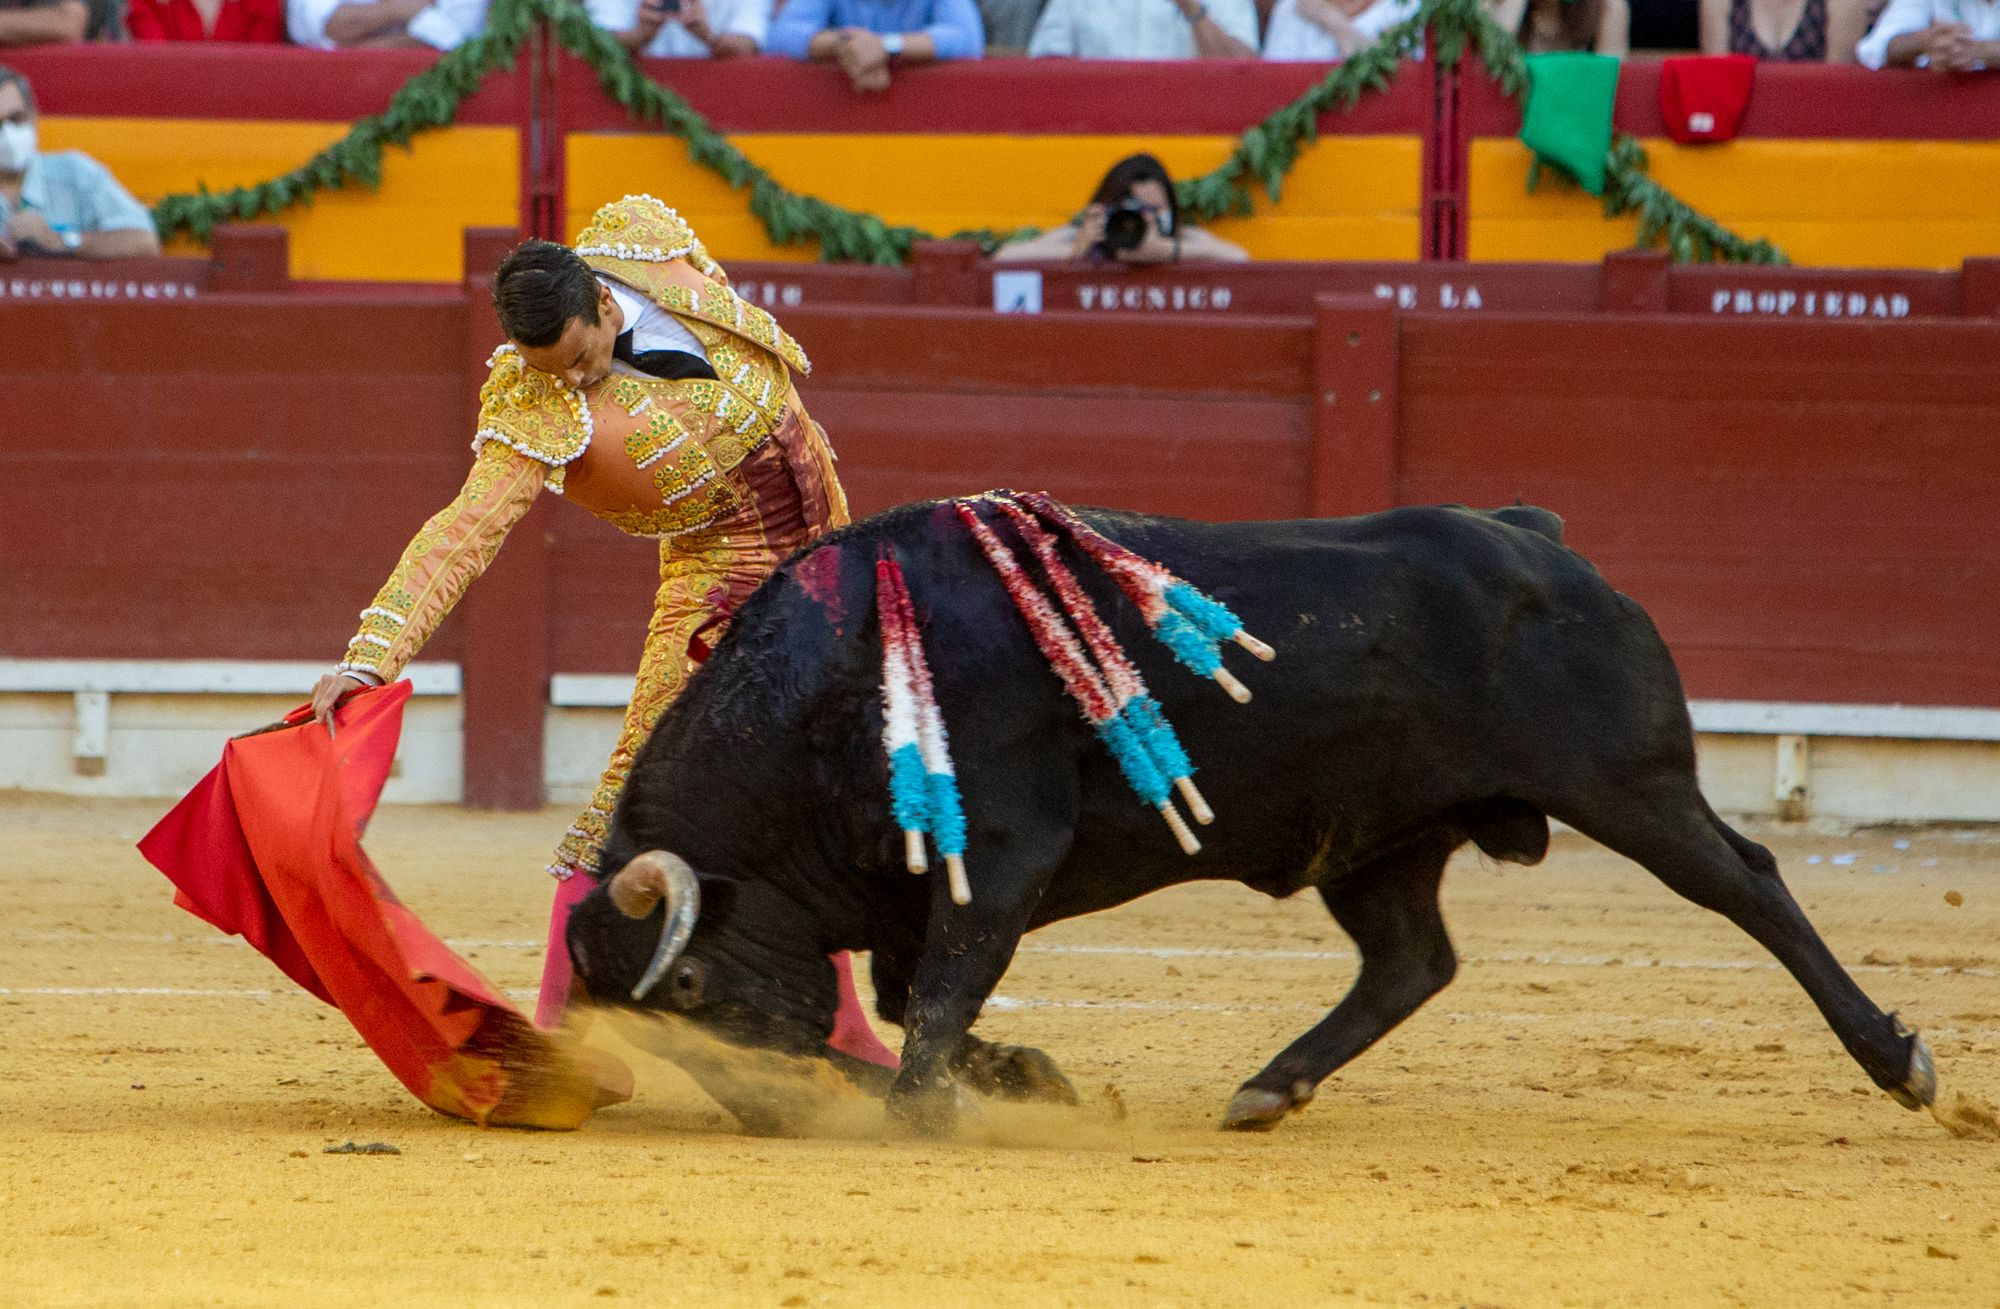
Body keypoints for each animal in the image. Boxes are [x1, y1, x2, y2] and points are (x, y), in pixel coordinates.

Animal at [564, 502, 1936, 1136]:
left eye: (689, 991)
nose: (771, 1107)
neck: (846, 682)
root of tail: (1533, 536)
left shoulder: (997, 855)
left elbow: (942, 994)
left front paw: (923, 1115)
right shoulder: (920, 888)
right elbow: (918, 1001)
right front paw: (1028, 1081)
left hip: (1629, 784)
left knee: (1747, 882)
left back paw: (1898, 1060)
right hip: (1380, 840)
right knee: (1410, 959)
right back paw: (1268, 1087)